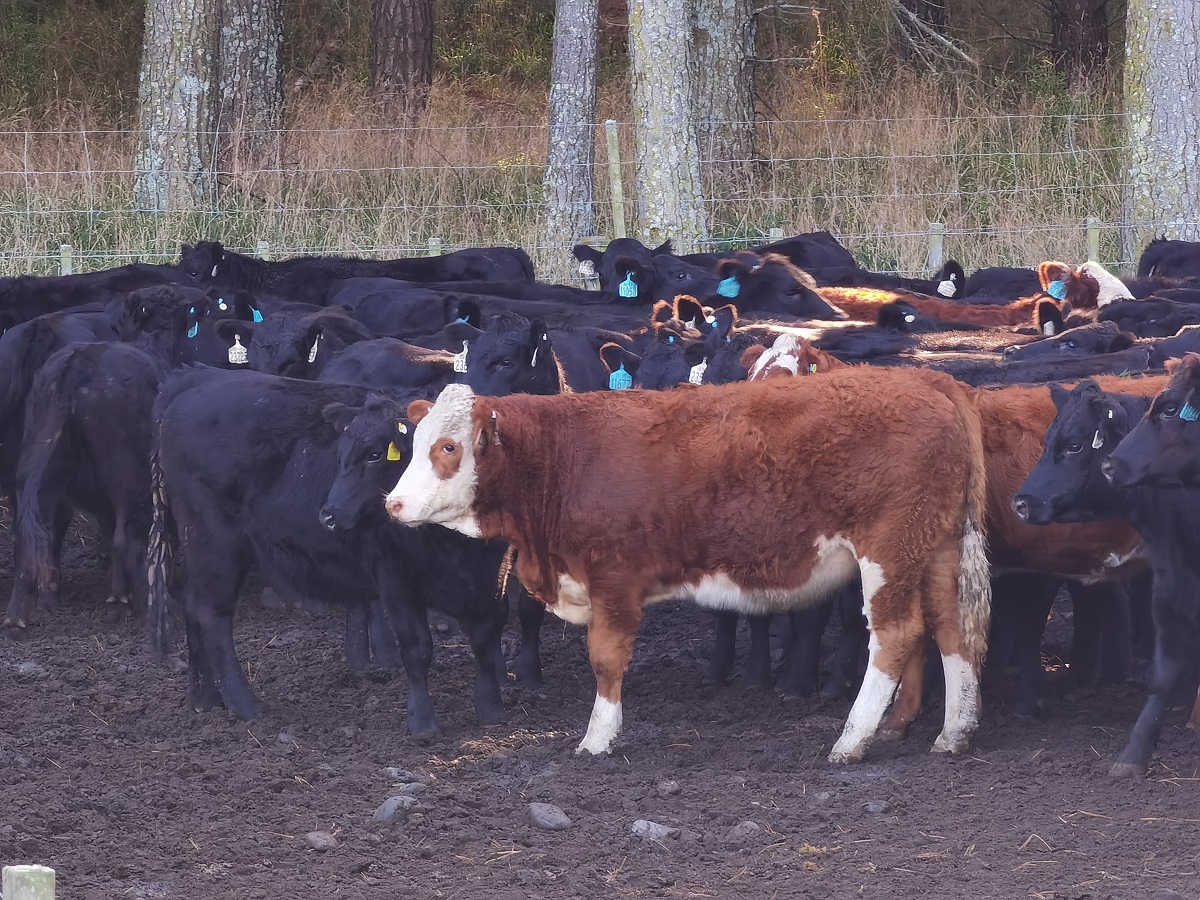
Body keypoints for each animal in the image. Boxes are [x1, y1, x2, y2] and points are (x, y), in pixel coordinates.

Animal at [386, 369, 993, 763]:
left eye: (448, 447)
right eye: (412, 445)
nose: (392, 504)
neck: (563, 459)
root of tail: (927, 380)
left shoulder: (614, 580)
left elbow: (606, 661)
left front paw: (598, 739)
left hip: (889, 549)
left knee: (896, 634)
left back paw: (852, 741)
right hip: (935, 547)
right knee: (950, 628)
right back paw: (954, 733)